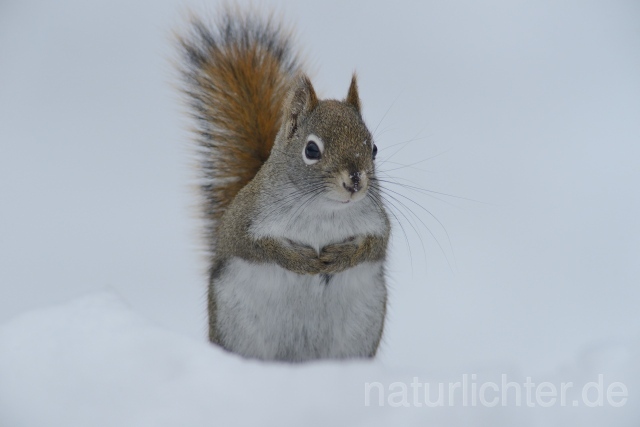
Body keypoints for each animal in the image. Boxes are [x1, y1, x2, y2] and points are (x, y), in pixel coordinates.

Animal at [178, 8, 392, 362]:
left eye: (373, 148)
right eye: (311, 150)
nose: (355, 182)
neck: (324, 210)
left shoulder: (378, 221)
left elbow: (375, 246)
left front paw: (341, 257)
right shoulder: (244, 220)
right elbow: (257, 247)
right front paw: (300, 260)